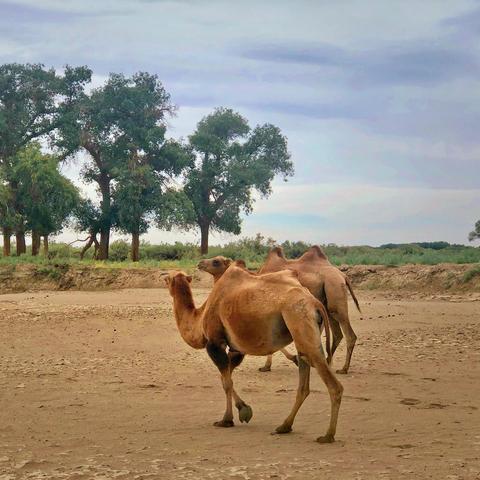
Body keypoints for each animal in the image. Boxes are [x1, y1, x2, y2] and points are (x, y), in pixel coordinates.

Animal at [163, 266, 344, 442]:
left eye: (167, 279)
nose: (163, 277)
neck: (199, 320)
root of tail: (314, 302)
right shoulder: (236, 349)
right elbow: (226, 378)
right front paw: (244, 410)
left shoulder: (215, 342)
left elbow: (226, 382)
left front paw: (227, 419)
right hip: (304, 330)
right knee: (303, 381)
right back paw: (284, 426)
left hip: (299, 318)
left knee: (333, 384)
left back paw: (328, 435)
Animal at [258, 246, 360, 374]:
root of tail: (343, 276)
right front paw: (267, 366)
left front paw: (272, 365)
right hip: (328, 304)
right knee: (337, 334)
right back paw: (326, 362)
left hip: (334, 289)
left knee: (349, 334)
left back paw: (343, 369)